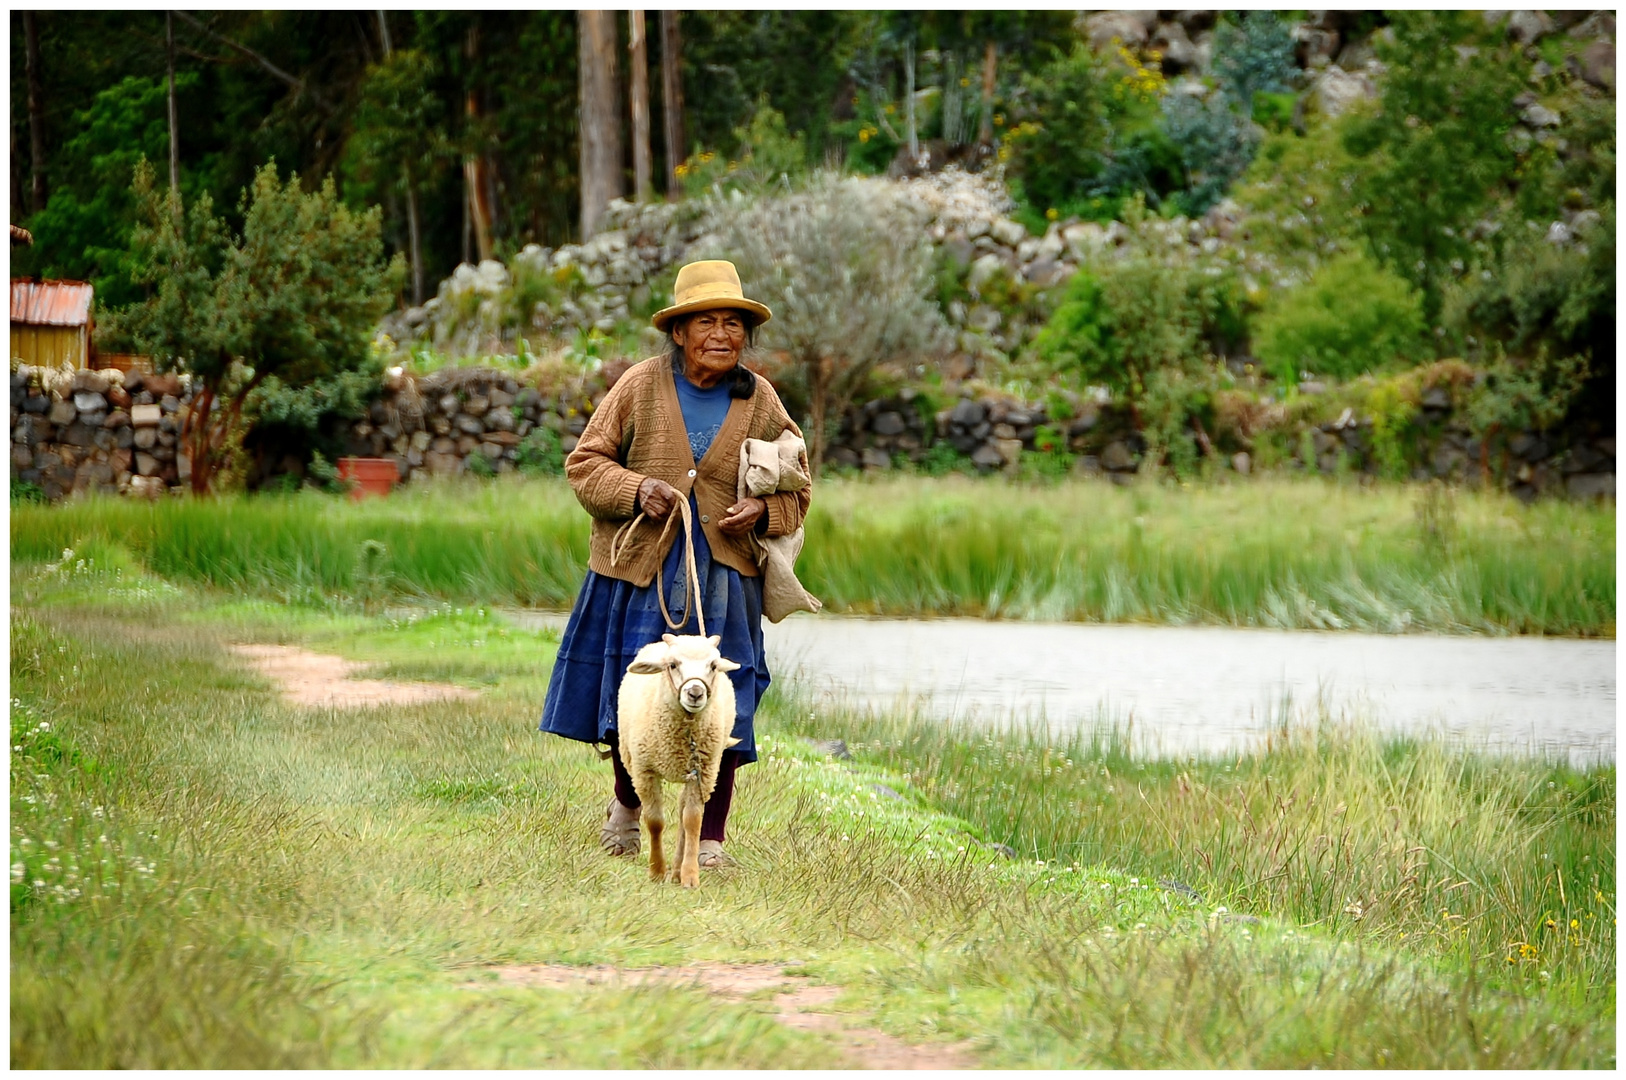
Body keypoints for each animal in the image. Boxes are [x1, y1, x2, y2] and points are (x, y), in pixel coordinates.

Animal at [614, 634, 744, 884]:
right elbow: (655, 822)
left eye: (713, 666)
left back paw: (677, 870)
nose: (695, 693)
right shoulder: (645, 771)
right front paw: (656, 870)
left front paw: (690, 875)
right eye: (672, 665)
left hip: (693, 774)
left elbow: (692, 821)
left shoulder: (703, 774)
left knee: (684, 814)